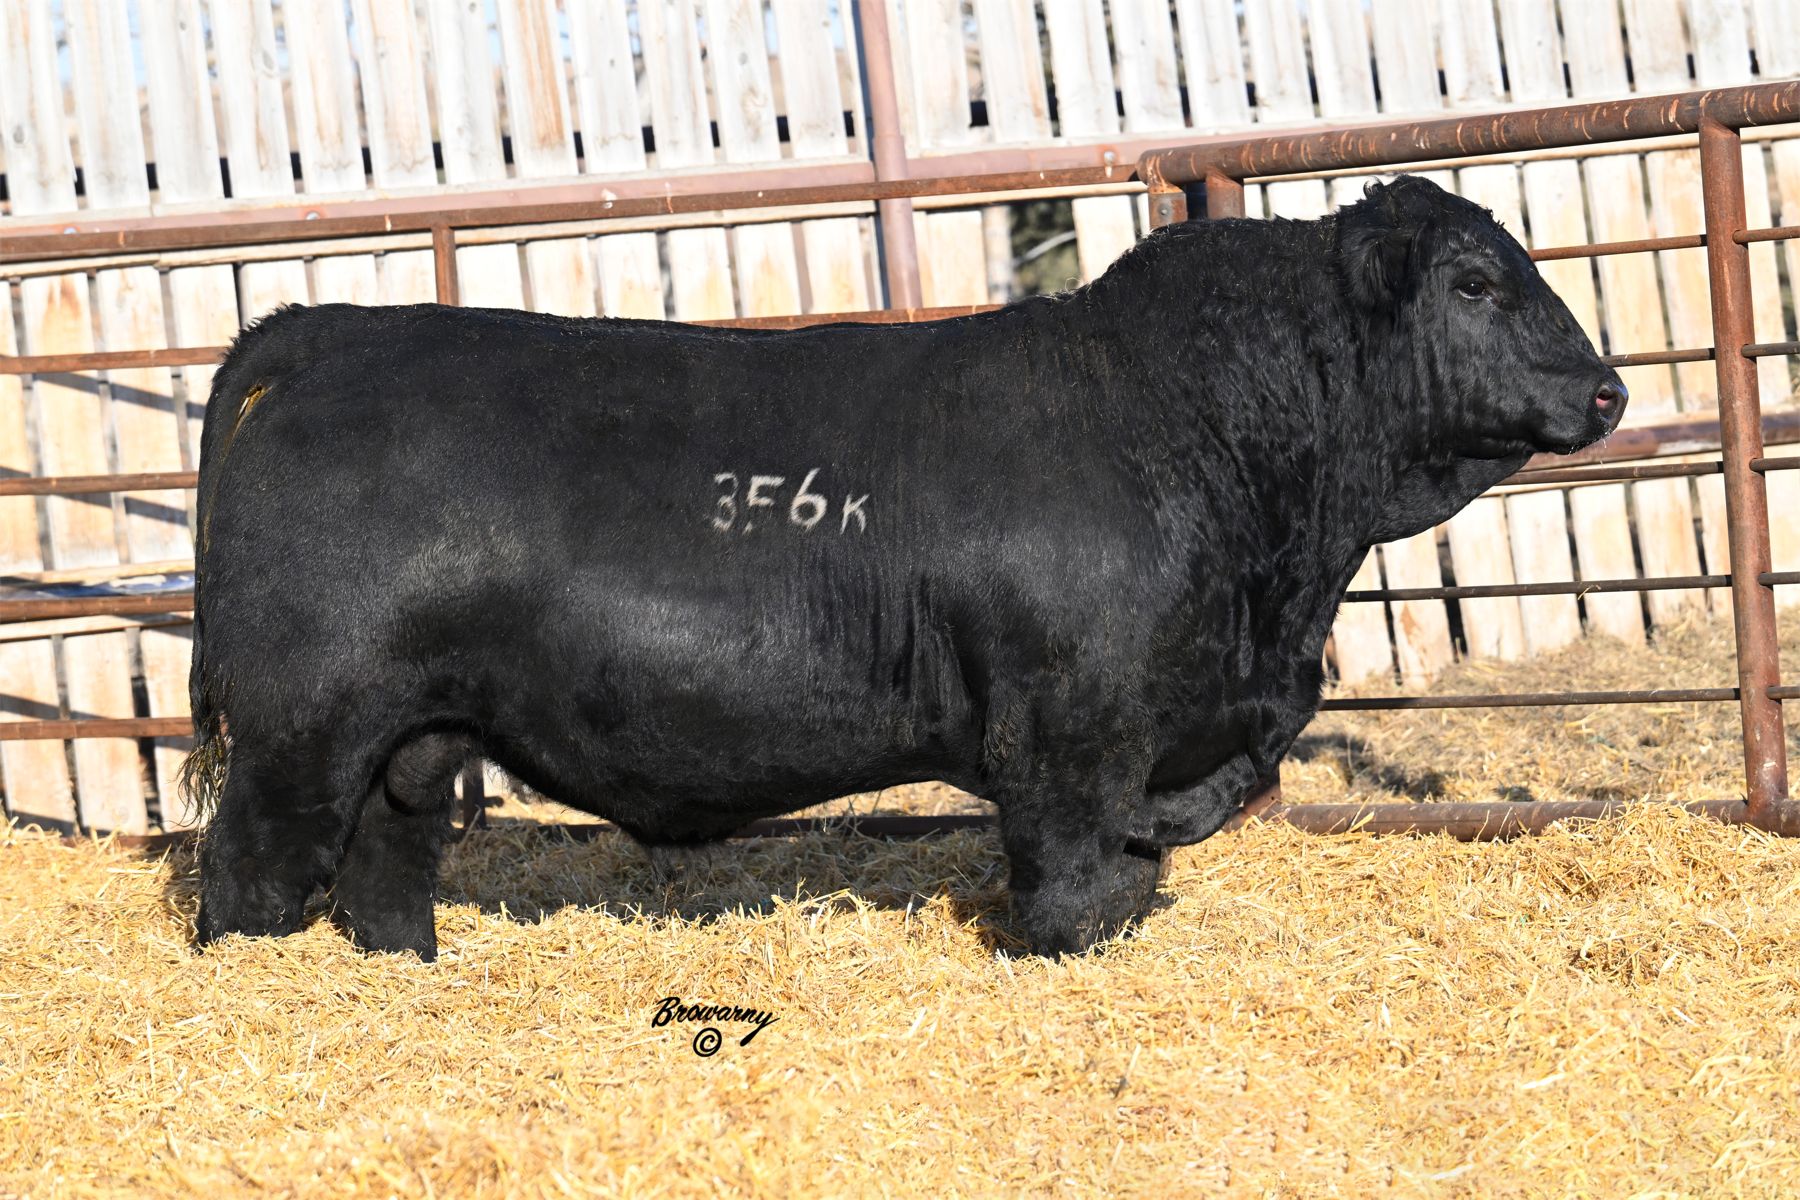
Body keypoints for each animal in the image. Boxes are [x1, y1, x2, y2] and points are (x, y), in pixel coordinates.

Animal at [184, 176, 1625, 961]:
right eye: (1476, 283)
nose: (1608, 388)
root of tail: (327, 327)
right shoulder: (1069, 725)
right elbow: (1072, 874)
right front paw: (1081, 939)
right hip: (303, 725)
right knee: (247, 872)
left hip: (412, 736)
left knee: (385, 865)